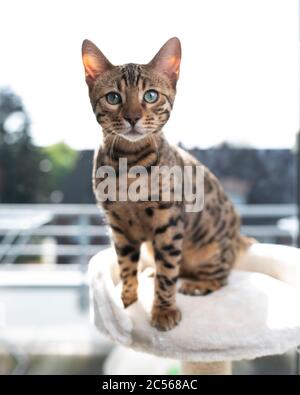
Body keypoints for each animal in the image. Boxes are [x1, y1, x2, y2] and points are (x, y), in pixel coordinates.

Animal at [82, 38, 253, 332]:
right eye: (113, 97)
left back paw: (197, 285)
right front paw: (125, 301)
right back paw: (151, 271)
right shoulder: (118, 227)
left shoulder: (169, 221)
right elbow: (126, 267)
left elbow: (168, 273)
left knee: (219, 277)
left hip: (211, 250)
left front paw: (163, 311)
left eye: (151, 96)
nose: (132, 117)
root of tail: (237, 239)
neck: (129, 164)